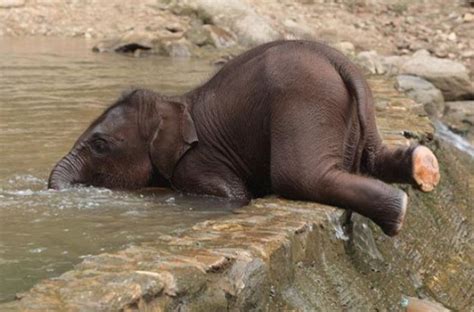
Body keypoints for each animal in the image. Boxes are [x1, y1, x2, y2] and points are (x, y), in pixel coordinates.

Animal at [50, 40, 438, 236]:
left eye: (100, 145)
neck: (174, 102)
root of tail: (340, 61)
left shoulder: (198, 164)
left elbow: (233, 196)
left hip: (303, 101)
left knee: (299, 176)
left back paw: (398, 213)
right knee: (371, 158)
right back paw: (423, 166)